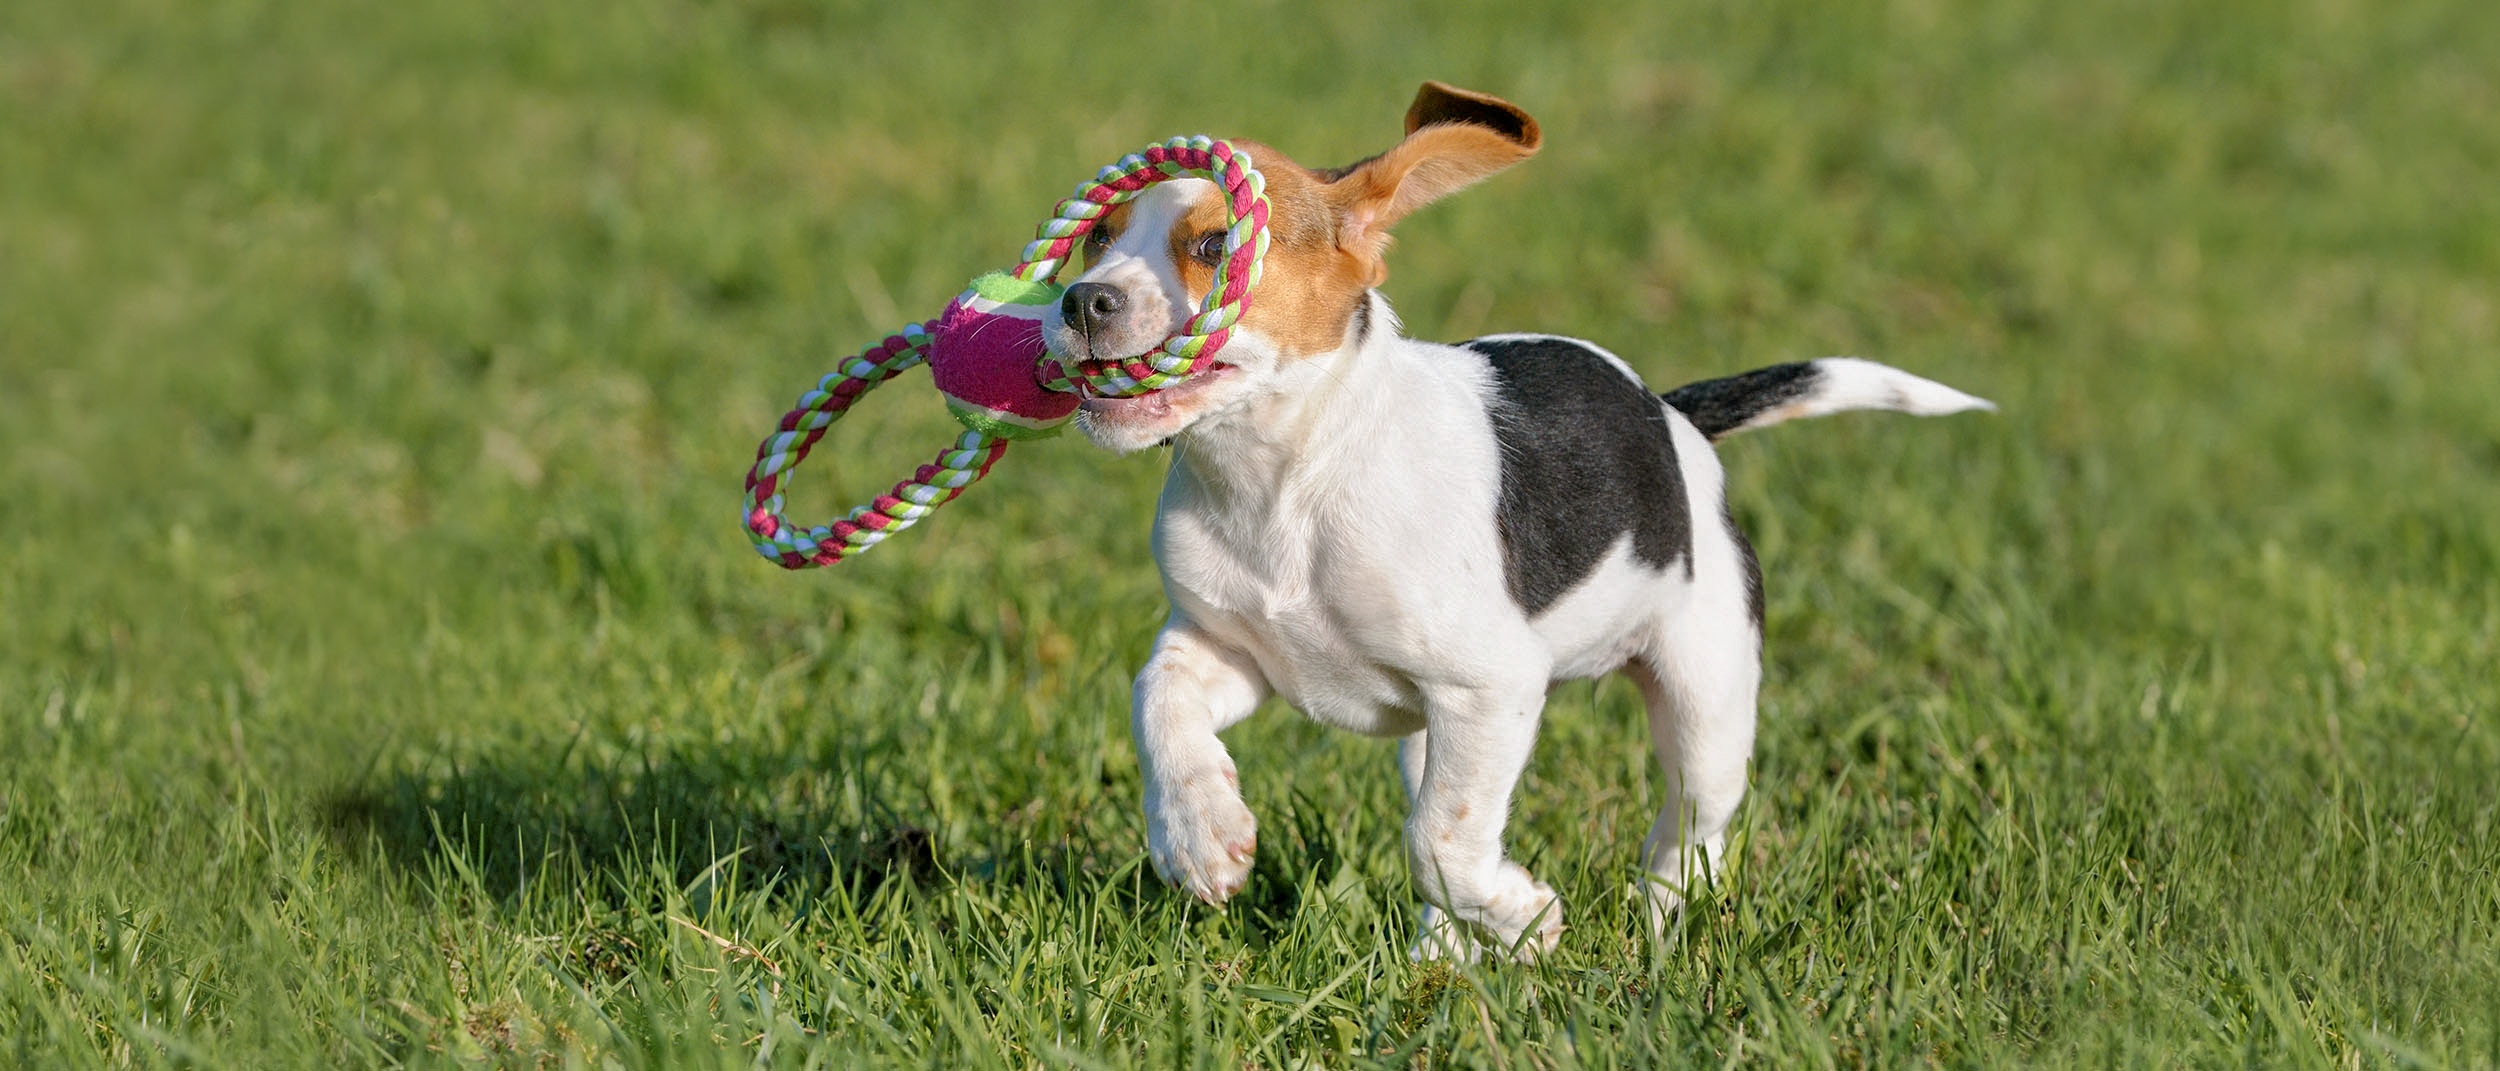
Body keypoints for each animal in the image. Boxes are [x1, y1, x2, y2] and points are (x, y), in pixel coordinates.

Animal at [1035, 79, 1990, 955]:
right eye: (1097, 240)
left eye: (1212, 245)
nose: (1081, 303)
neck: (1282, 478)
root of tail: (1670, 411)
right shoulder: (1228, 648)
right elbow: (1158, 699)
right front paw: (1199, 837)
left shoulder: (1489, 690)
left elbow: (1439, 842)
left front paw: (1525, 913)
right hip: (1433, 738)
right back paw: (1442, 960)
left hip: (1706, 699)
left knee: (1689, 827)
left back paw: (1653, 929)